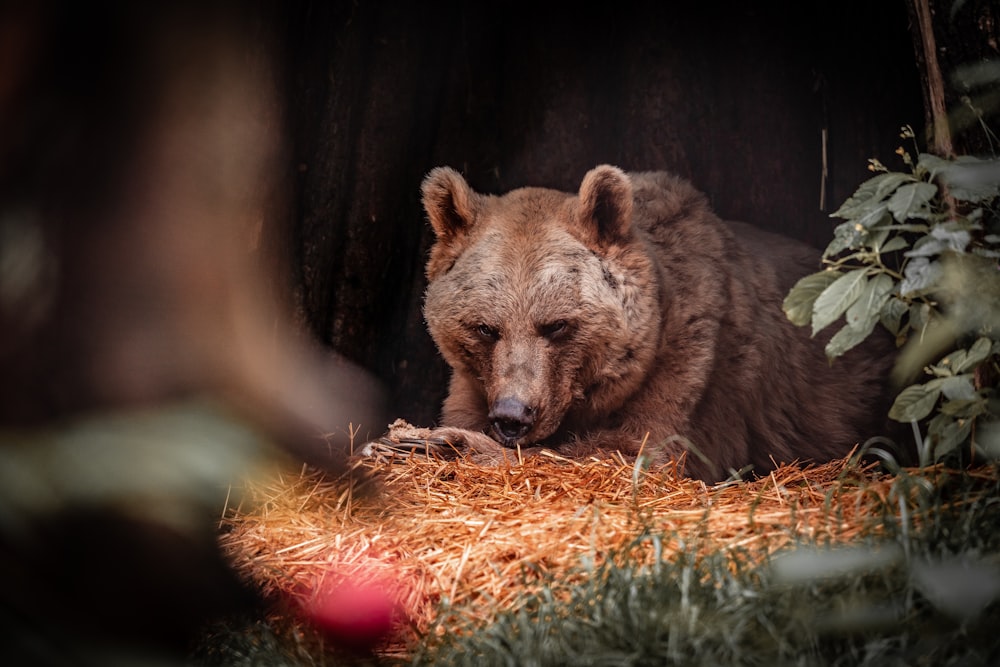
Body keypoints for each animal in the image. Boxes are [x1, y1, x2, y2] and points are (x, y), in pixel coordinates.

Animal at [410, 165, 896, 482]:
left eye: (557, 325)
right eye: (485, 328)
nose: (514, 416)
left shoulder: (692, 358)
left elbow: (628, 452)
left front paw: (444, 442)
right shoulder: (476, 382)